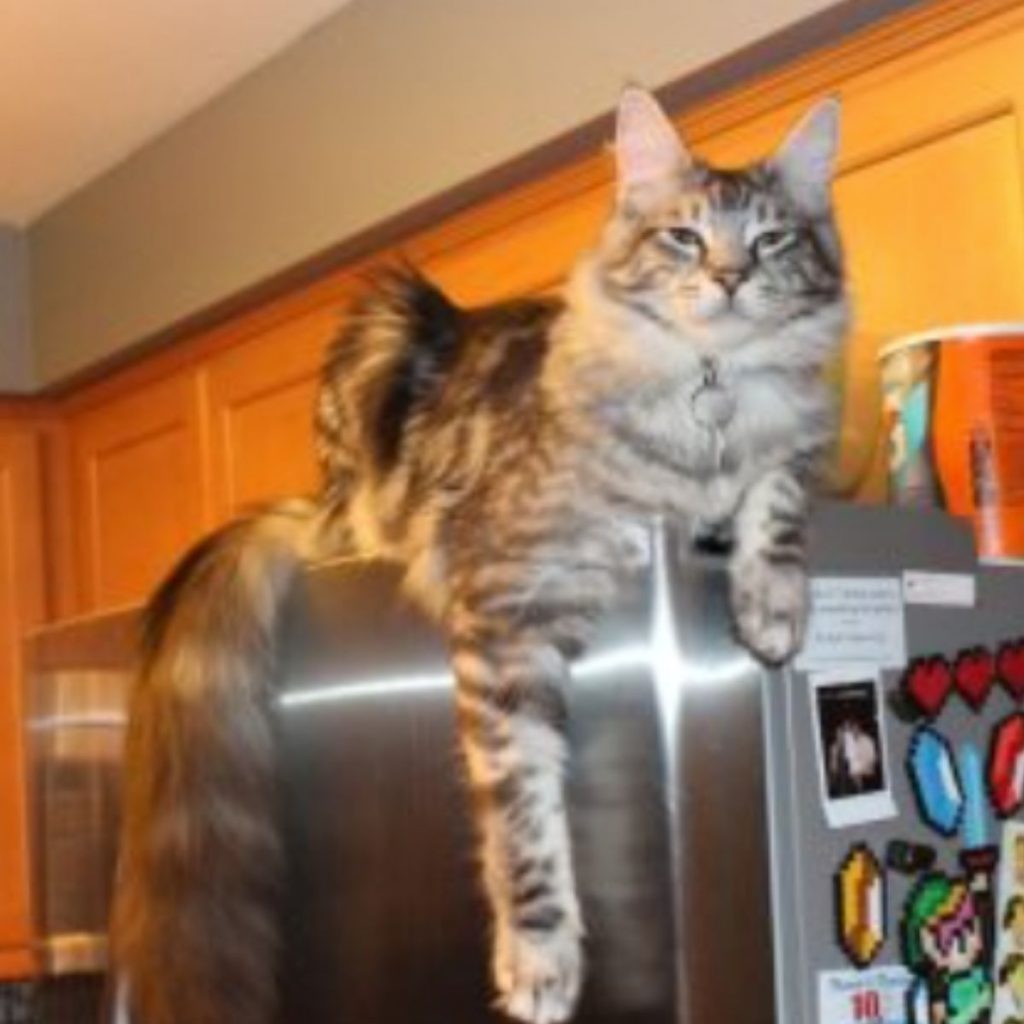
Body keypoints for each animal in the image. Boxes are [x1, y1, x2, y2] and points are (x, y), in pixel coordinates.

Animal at [112, 88, 847, 1024]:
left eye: (773, 240)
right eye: (684, 236)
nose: (729, 277)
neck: (706, 400)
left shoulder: (799, 444)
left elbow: (777, 492)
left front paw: (773, 603)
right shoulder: (506, 606)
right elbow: (524, 816)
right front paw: (539, 961)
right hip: (380, 327)